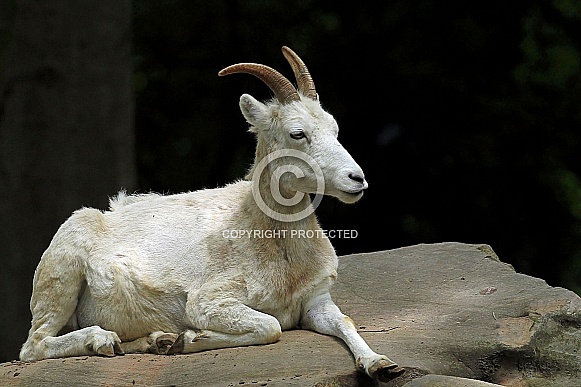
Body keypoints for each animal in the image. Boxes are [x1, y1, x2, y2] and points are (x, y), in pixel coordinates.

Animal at [17, 46, 398, 382]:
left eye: (334, 128)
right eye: (297, 133)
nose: (356, 179)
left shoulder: (316, 301)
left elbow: (345, 322)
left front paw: (382, 365)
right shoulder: (208, 302)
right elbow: (271, 326)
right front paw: (188, 339)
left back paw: (155, 340)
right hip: (61, 280)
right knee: (33, 346)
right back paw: (104, 340)